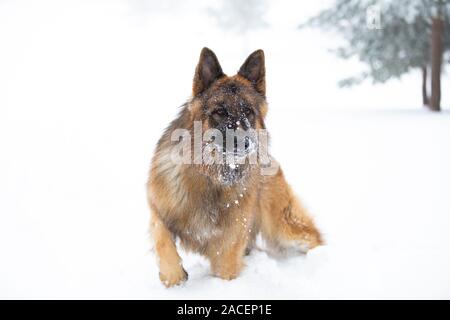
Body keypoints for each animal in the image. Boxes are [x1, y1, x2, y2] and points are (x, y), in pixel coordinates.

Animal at [147, 48, 320, 288]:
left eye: (248, 111)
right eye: (219, 111)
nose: (244, 143)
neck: (213, 176)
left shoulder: (228, 247)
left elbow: (225, 271)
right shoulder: (159, 210)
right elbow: (162, 239)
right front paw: (174, 277)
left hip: (284, 227)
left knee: (313, 237)